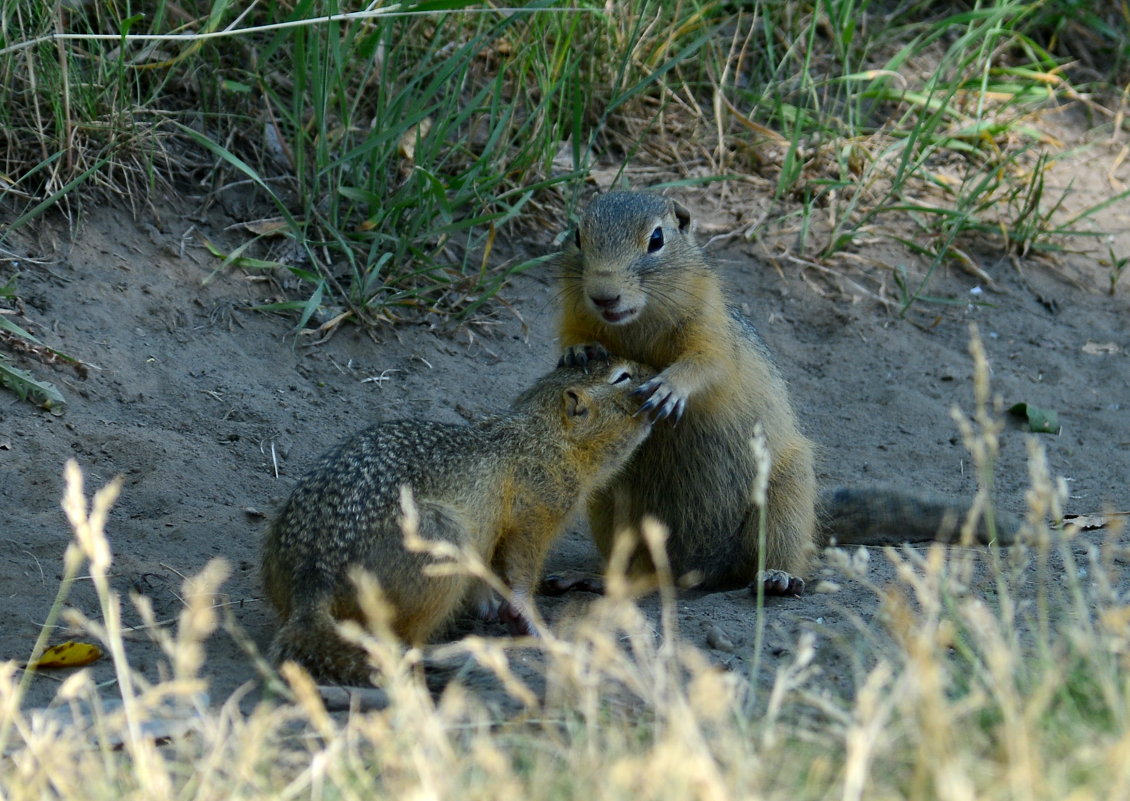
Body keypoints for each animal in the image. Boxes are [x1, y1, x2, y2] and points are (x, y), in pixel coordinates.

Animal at [261, 359, 655, 677]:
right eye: (622, 376)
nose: (655, 375)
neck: (542, 435)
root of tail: (313, 580)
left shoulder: (493, 528)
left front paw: (489, 604)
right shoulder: (535, 509)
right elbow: (521, 568)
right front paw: (527, 619)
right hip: (444, 539)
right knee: (401, 645)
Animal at [558, 190, 1026, 591]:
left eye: (656, 239)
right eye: (578, 235)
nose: (604, 295)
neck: (634, 328)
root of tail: (696, 571)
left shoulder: (710, 329)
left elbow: (706, 363)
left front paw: (671, 386)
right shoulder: (576, 315)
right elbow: (575, 339)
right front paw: (577, 352)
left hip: (784, 495)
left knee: (777, 554)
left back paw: (778, 577)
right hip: (607, 505)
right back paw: (597, 578)